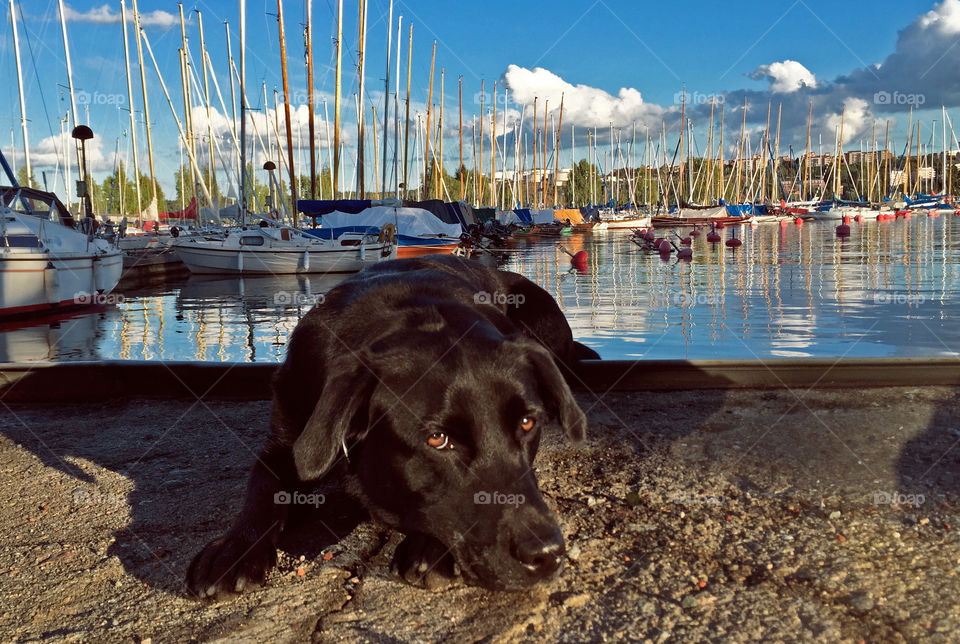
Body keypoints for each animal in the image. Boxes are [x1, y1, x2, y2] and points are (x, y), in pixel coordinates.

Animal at [184, 254, 596, 596]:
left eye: (527, 423)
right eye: (437, 439)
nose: (547, 555)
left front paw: (431, 547)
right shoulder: (287, 441)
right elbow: (262, 486)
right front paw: (235, 548)